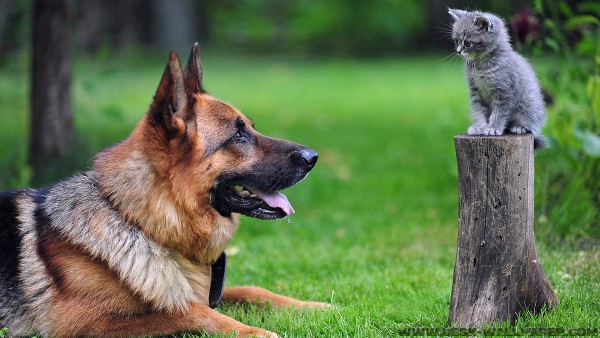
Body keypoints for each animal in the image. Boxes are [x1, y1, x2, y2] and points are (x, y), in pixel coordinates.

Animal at [0, 43, 326, 336]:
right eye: (238, 136)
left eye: (251, 127)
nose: (313, 157)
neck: (140, 222)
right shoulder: (80, 323)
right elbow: (187, 310)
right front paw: (255, 332)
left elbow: (250, 289)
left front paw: (313, 305)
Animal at [448, 7, 548, 148]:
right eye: (456, 41)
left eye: (467, 43)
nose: (458, 51)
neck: (480, 65)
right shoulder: (475, 91)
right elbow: (478, 110)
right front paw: (479, 127)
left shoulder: (503, 91)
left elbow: (499, 113)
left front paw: (493, 128)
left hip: (530, 105)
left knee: (531, 122)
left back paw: (519, 127)